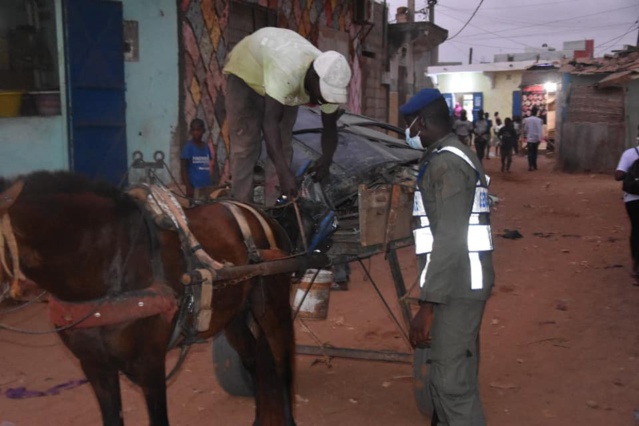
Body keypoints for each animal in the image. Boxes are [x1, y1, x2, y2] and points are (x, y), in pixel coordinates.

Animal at [0, 171, 298, 426]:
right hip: (233, 314)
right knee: (253, 361)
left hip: (273, 305)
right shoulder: (96, 367)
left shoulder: (150, 363)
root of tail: (262, 214)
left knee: (282, 361)